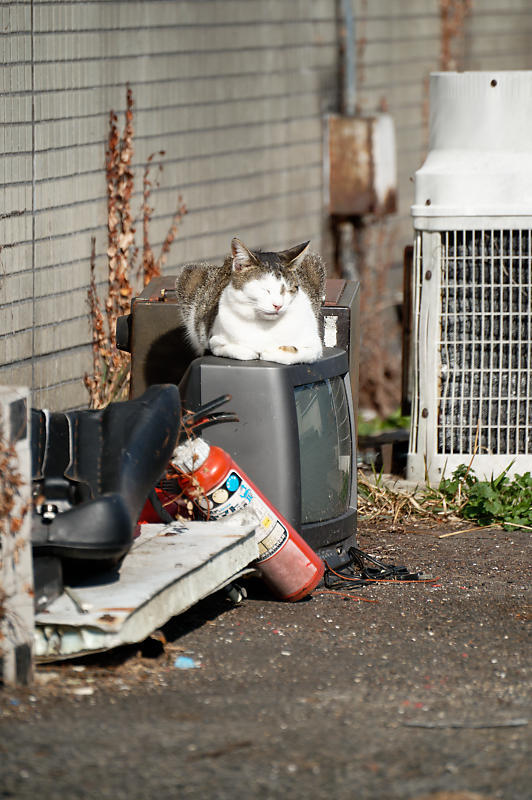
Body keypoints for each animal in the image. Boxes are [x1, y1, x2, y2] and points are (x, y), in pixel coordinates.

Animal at [176, 236, 324, 364]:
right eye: (265, 289)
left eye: (289, 289)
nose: (278, 305)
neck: (265, 326)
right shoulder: (214, 341)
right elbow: (236, 350)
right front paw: (253, 351)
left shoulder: (315, 344)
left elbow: (295, 352)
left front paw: (271, 352)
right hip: (190, 274)